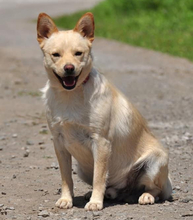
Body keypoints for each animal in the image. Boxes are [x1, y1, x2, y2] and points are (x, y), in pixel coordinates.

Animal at [36, 11, 172, 210]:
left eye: (78, 53)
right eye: (56, 55)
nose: (69, 68)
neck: (70, 95)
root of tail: (127, 191)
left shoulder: (101, 143)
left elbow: (99, 177)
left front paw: (95, 202)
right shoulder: (59, 143)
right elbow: (66, 178)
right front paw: (66, 199)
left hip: (155, 162)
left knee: (155, 189)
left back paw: (145, 196)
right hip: (82, 168)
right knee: (111, 187)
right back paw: (106, 194)